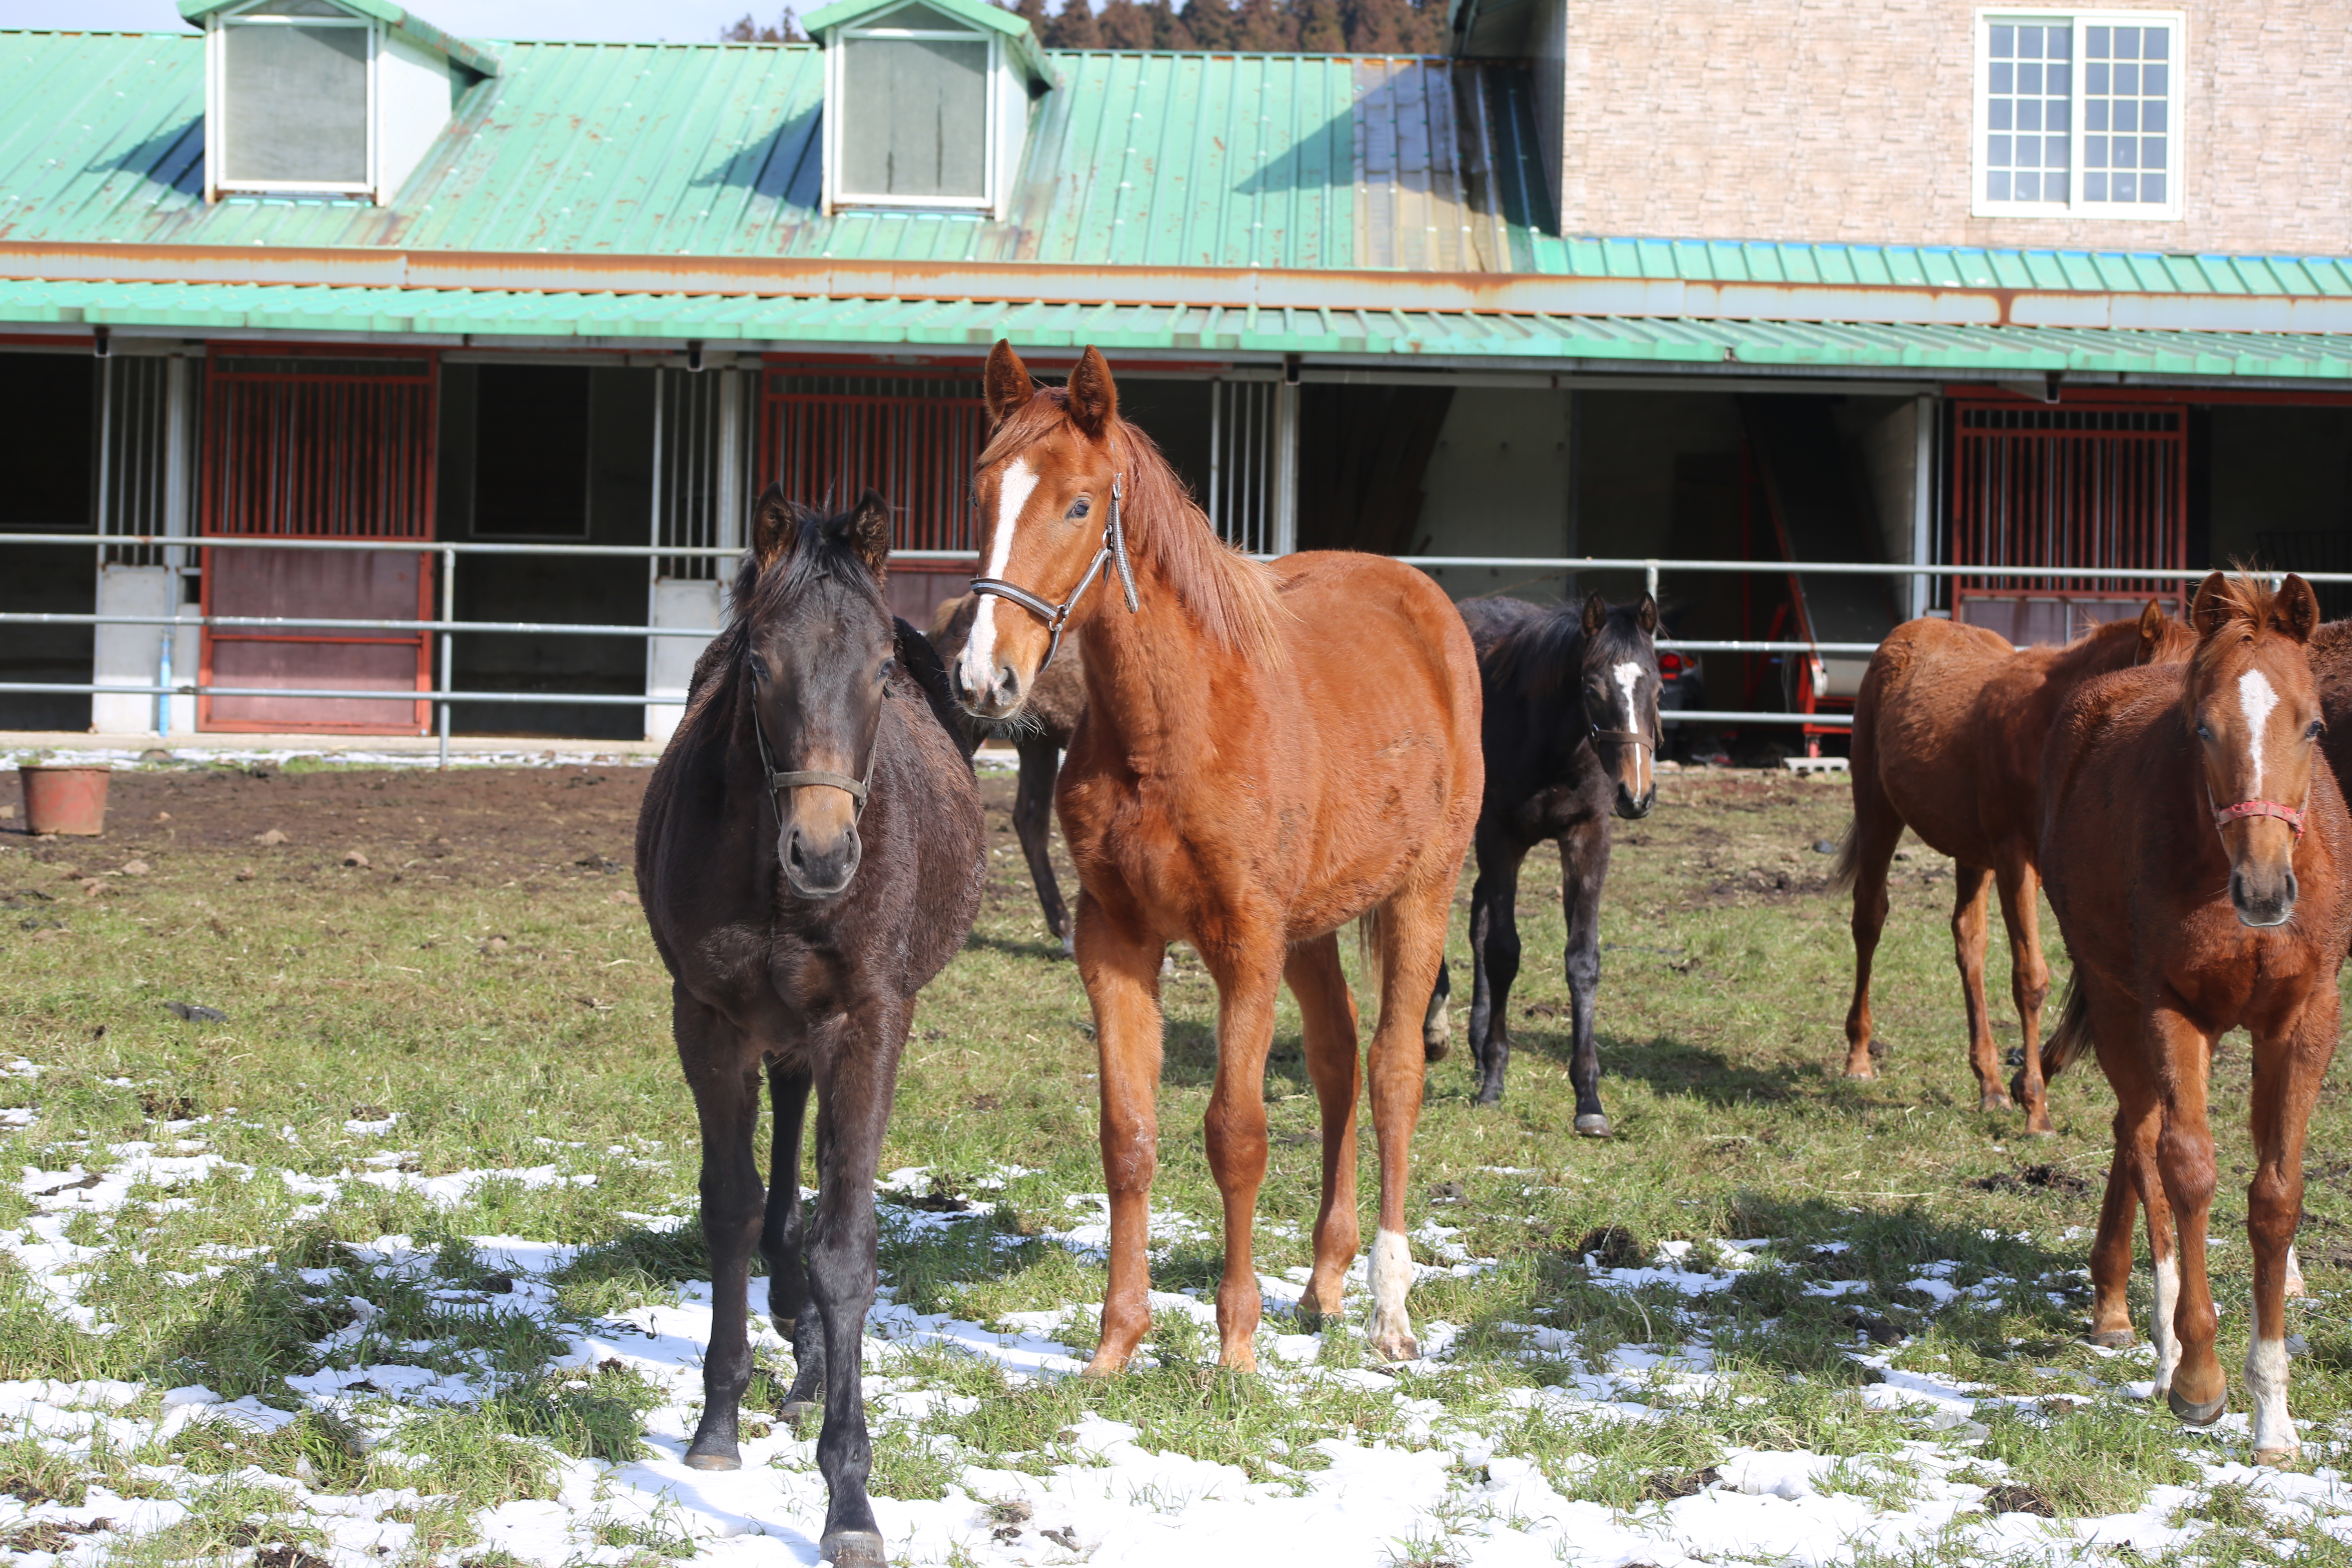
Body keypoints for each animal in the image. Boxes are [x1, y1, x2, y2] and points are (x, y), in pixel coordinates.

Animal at [635, 484, 983, 1561]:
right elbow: (730, 1207)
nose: (823, 852)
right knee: (785, 1132)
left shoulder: (868, 1020)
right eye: (758, 665)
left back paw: (813, 1354)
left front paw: (850, 1497)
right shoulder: (706, 1017)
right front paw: (716, 1423)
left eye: (881, 671)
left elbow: (848, 1247)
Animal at [950, 341, 1468, 1363]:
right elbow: (1128, 1136)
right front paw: (1115, 1347)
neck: (1175, 725)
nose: (987, 678)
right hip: (1313, 926)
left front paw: (1233, 1351)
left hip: (1420, 895)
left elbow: (1236, 1135)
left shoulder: (1245, 947)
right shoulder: (1117, 942)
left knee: (1393, 1072)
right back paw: (1324, 1280)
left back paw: (1389, 1308)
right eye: (984, 493)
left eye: (1079, 505)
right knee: (1338, 1061)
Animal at [1430, 592, 1675, 1128]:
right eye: (1591, 688)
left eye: (1660, 689)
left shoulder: (1588, 835)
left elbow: (1582, 959)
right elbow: (1504, 952)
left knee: (1476, 915)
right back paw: (1436, 1031)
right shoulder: (1499, 835)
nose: (1637, 795)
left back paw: (1474, 1045)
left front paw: (1589, 1099)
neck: (1550, 743)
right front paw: (1495, 1081)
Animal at [2032, 576, 2342, 1476]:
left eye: (2315, 725)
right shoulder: (2168, 1007)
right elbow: (2189, 1170)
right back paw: (2159, 1340)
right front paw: (2201, 1379)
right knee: (2142, 1138)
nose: (2267, 890)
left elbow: (2276, 1195)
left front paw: (2274, 1418)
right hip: (2116, 997)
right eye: (2201, 728)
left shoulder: (2306, 1019)